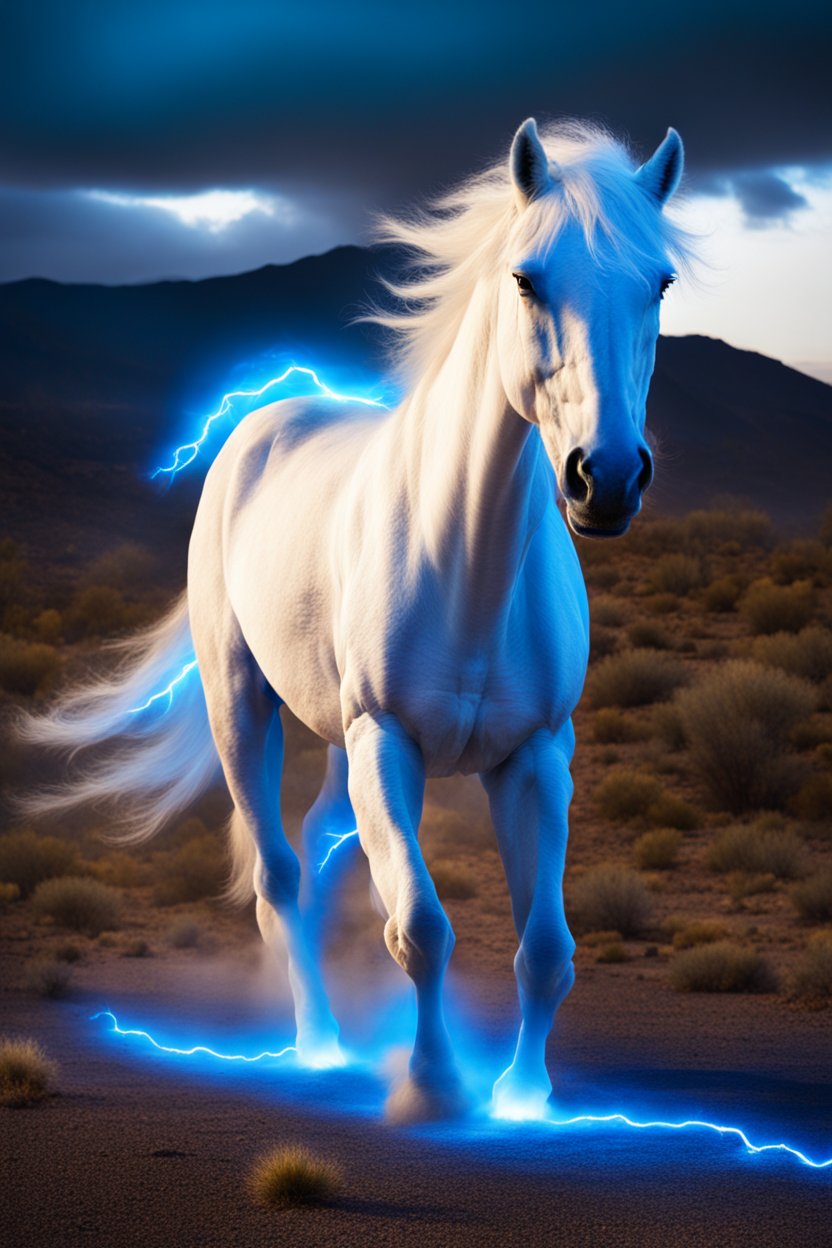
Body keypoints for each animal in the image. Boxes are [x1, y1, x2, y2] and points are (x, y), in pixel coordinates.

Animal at [21, 117, 692, 1123]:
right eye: (527, 279)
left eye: (660, 283)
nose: (605, 478)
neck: (469, 569)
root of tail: (266, 419)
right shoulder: (387, 743)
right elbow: (420, 926)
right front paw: (432, 1087)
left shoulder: (536, 757)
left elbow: (545, 950)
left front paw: (524, 1095)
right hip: (243, 708)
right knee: (280, 877)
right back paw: (319, 1047)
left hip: (340, 746)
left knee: (318, 855)